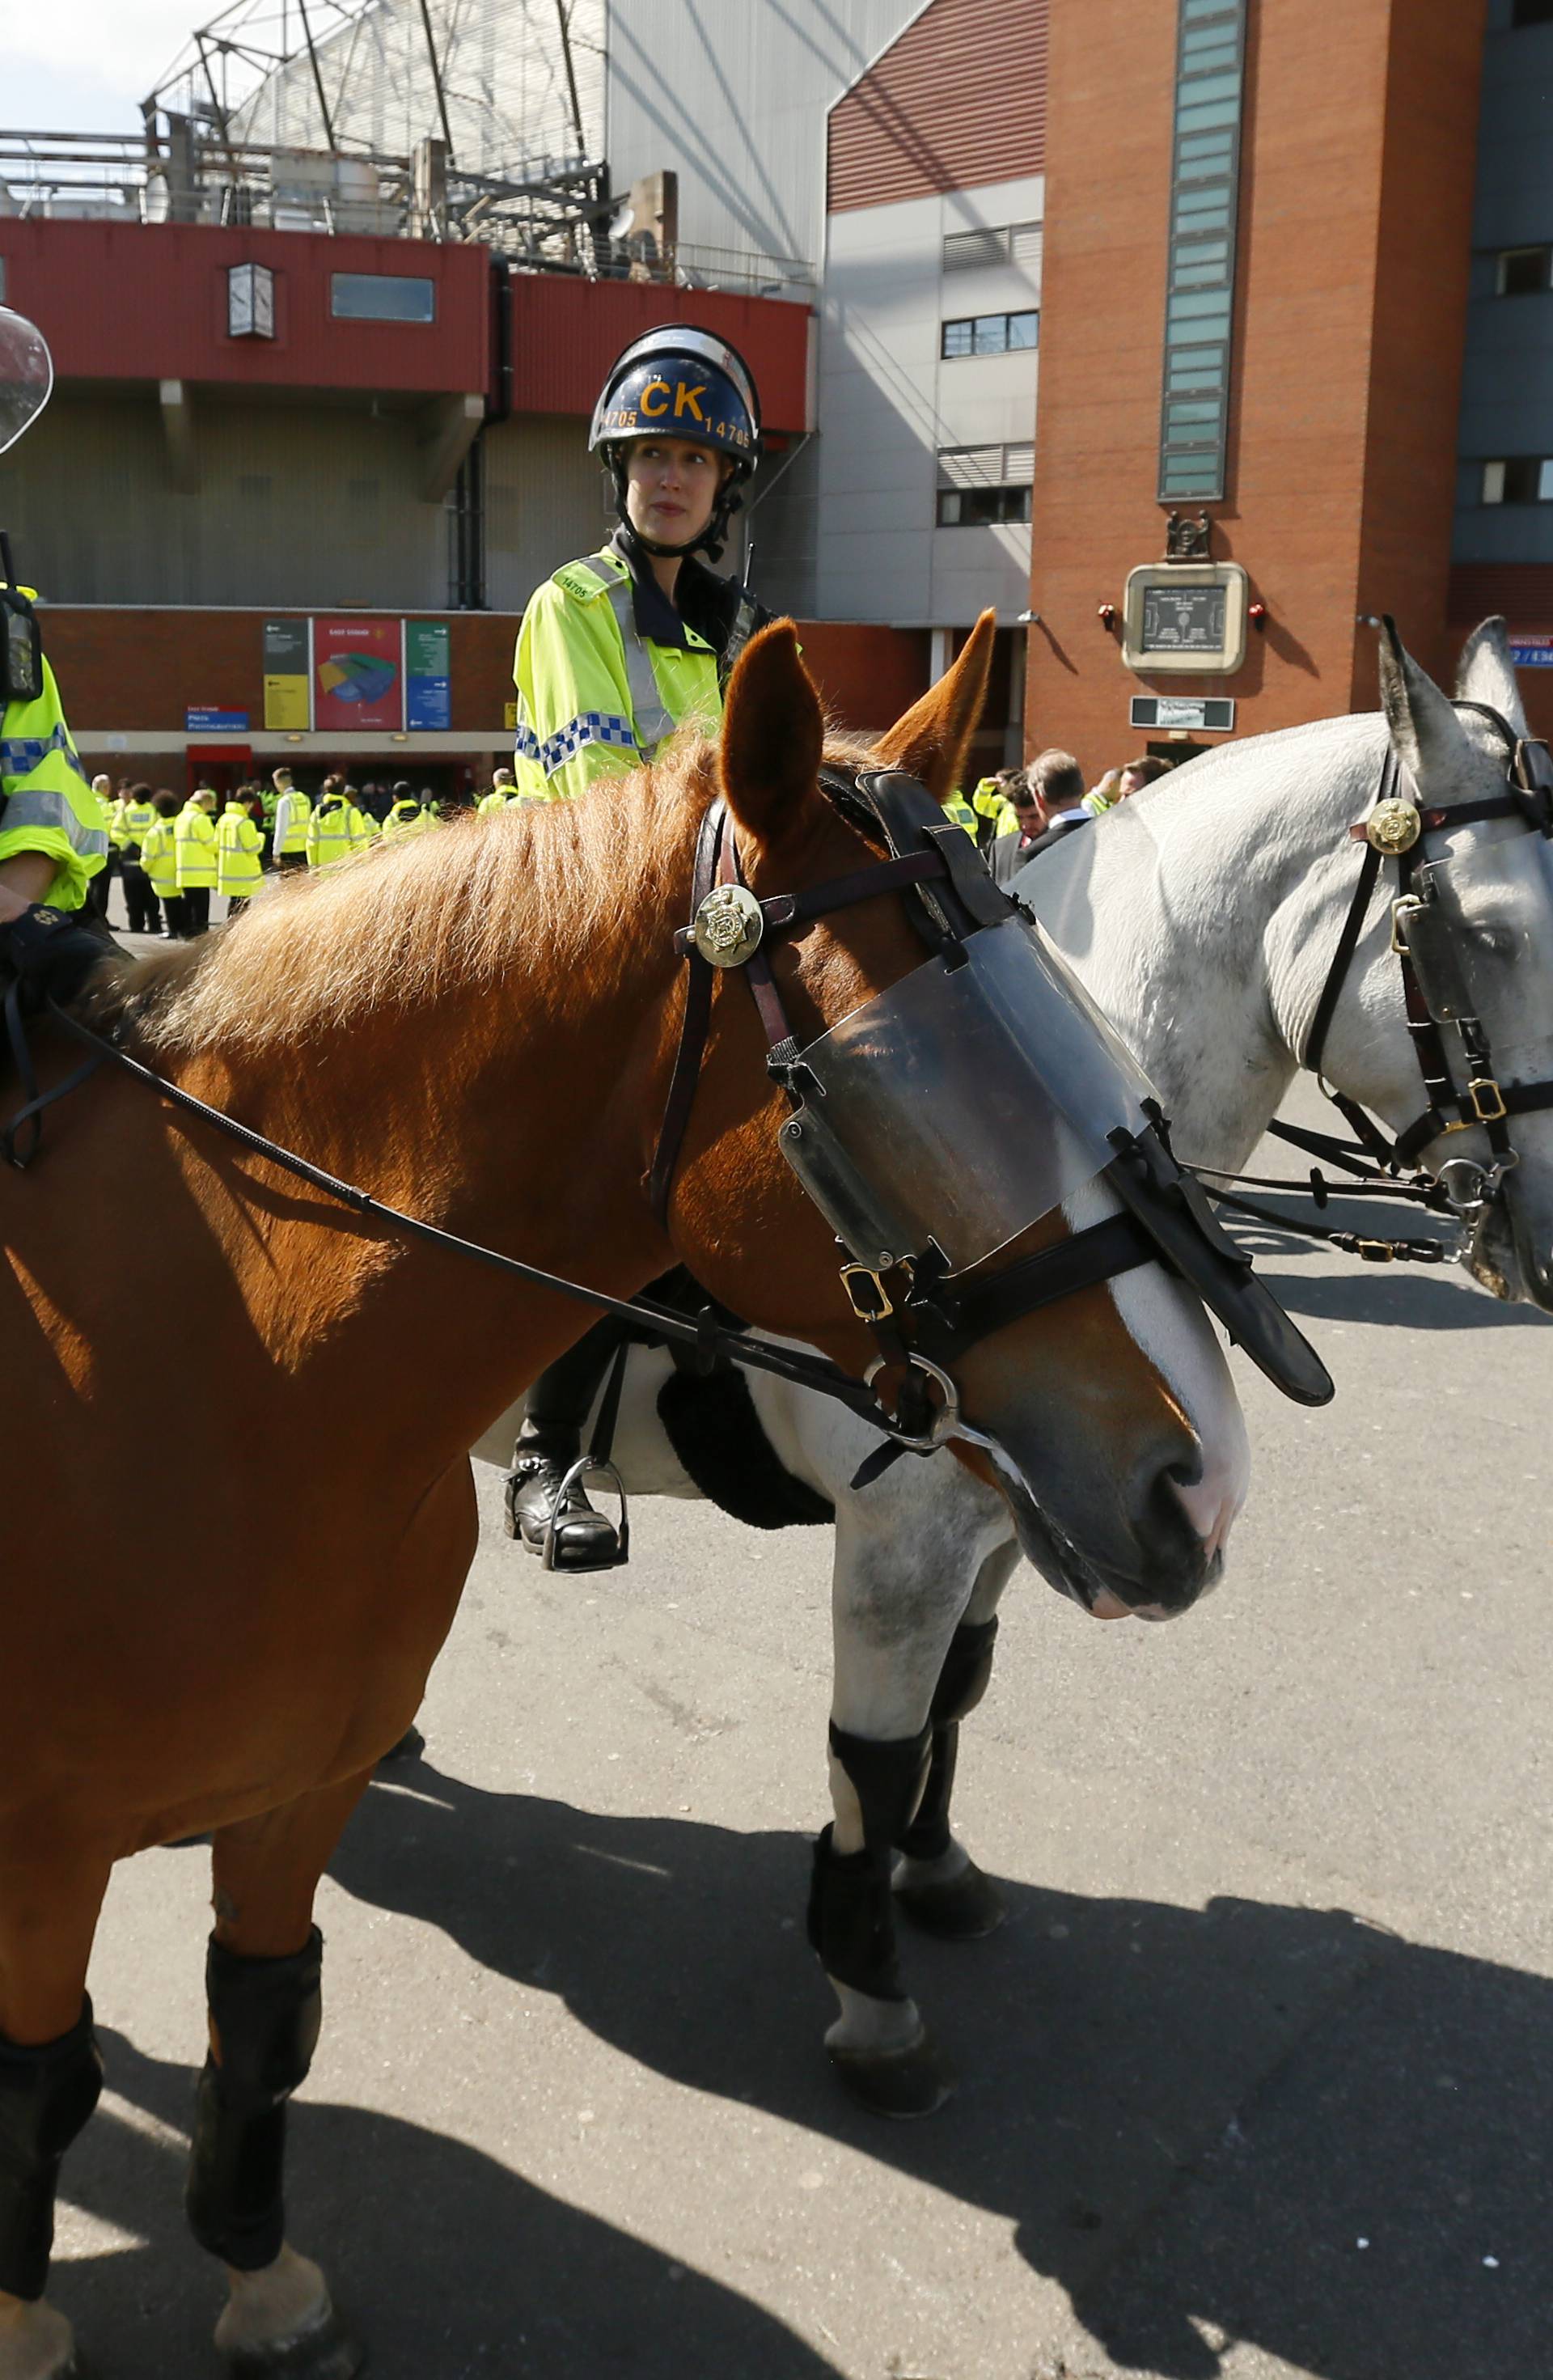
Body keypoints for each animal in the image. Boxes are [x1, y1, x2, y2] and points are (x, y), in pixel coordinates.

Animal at [0, 618, 1246, 2380]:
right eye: (890, 1078)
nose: (1204, 1467)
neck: (217, 1333)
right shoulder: (40, 1854)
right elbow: (41, 2084)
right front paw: (872, 1983)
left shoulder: (293, 1784)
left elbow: (264, 2014)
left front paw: (262, 2276)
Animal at [473, 618, 1551, 2123]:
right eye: (1486, 934)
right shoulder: (900, 1547)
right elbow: (871, 1755)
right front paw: (868, 1986)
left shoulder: (1007, 1522)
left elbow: (958, 1699)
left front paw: (935, 1871)